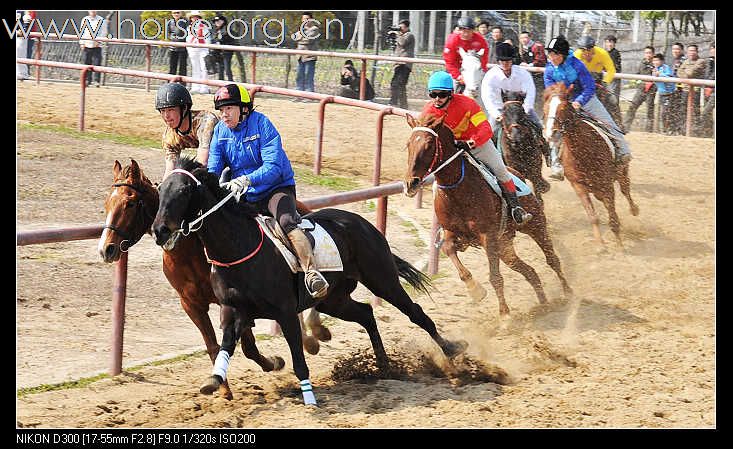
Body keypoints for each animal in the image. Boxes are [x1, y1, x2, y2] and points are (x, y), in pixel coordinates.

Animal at [96, 159, 328, 398]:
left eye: (130, 203)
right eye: (107, 202)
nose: (106, 249)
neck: (189, 253)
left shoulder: (232, 301)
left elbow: (248, 346)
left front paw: (273, 362)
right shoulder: (192, 304)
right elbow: (214, 345)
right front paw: (223, 387)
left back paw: (315, 332)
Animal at [152, 157, 466, 402]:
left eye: (183, 190)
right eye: (161, 189)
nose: (159, 230)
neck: (237, 248)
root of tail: (361, 223)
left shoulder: (285, 312)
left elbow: (297, 359)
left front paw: (309, 397)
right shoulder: (233, 310)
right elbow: (227, 346)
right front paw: (214, 381)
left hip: (382, 280)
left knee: (415, 312)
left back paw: (452, 351)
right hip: (333, 299)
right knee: (366, 313)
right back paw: (384, 366)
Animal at [404, 113, 568, 316]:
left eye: (428, 145)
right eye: (408, 144)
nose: (410, 183)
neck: (457, 190)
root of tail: (517, 174)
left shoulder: (487, 237)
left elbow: (495, 277)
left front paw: (504, 314)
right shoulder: (453, 234)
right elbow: (449, 250)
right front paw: (475, 291)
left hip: (535, 226)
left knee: (552, 259)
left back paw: (568, 293)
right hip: (505, 246)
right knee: (529, 271)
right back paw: (544, 304)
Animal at [540, 82, 636, 247]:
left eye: (563, 108)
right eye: (545, 110)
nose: (550, 134)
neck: (583, 152)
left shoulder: (606, 185)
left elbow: (613, 217)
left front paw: (619, 245)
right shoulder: (578, 186)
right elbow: (593, 216)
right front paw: (601, 245)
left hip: (621, 173)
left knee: (625, 190)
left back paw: (634, 210)